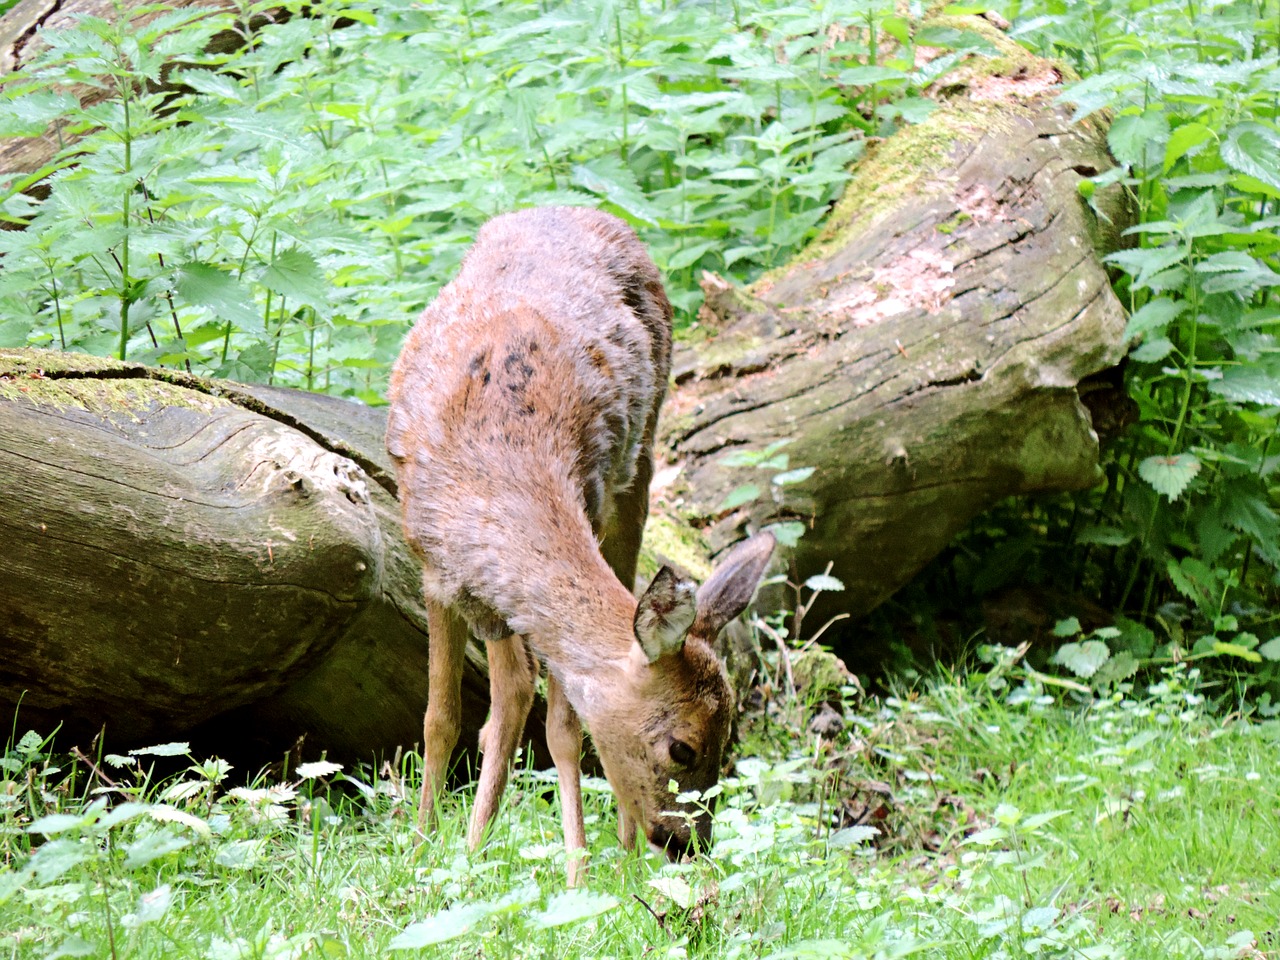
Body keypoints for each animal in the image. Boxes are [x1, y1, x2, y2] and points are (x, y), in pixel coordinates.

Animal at [384, 207, 773, 890]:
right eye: (683, 746)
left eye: (728, 740)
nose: (691, 844)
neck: (498, 466)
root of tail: (582, 210)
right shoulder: (435, 569)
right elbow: (440, 719)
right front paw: (427, 851)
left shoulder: (585, 507)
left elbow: (563, 727)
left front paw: (577, 875)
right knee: (509, 696)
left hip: (639, 460)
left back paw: (618, 852)